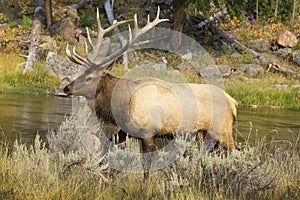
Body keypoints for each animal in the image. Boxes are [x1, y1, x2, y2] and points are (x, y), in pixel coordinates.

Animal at [64, 7, 238, 180]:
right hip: (208, 134)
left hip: (222, 130)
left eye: (90, 77)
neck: (122, 105)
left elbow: (146, 165)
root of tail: (234, 102)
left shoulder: (148, 133)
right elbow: (107, 147)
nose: (66, 88)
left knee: (234, 151)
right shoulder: (125, 131)